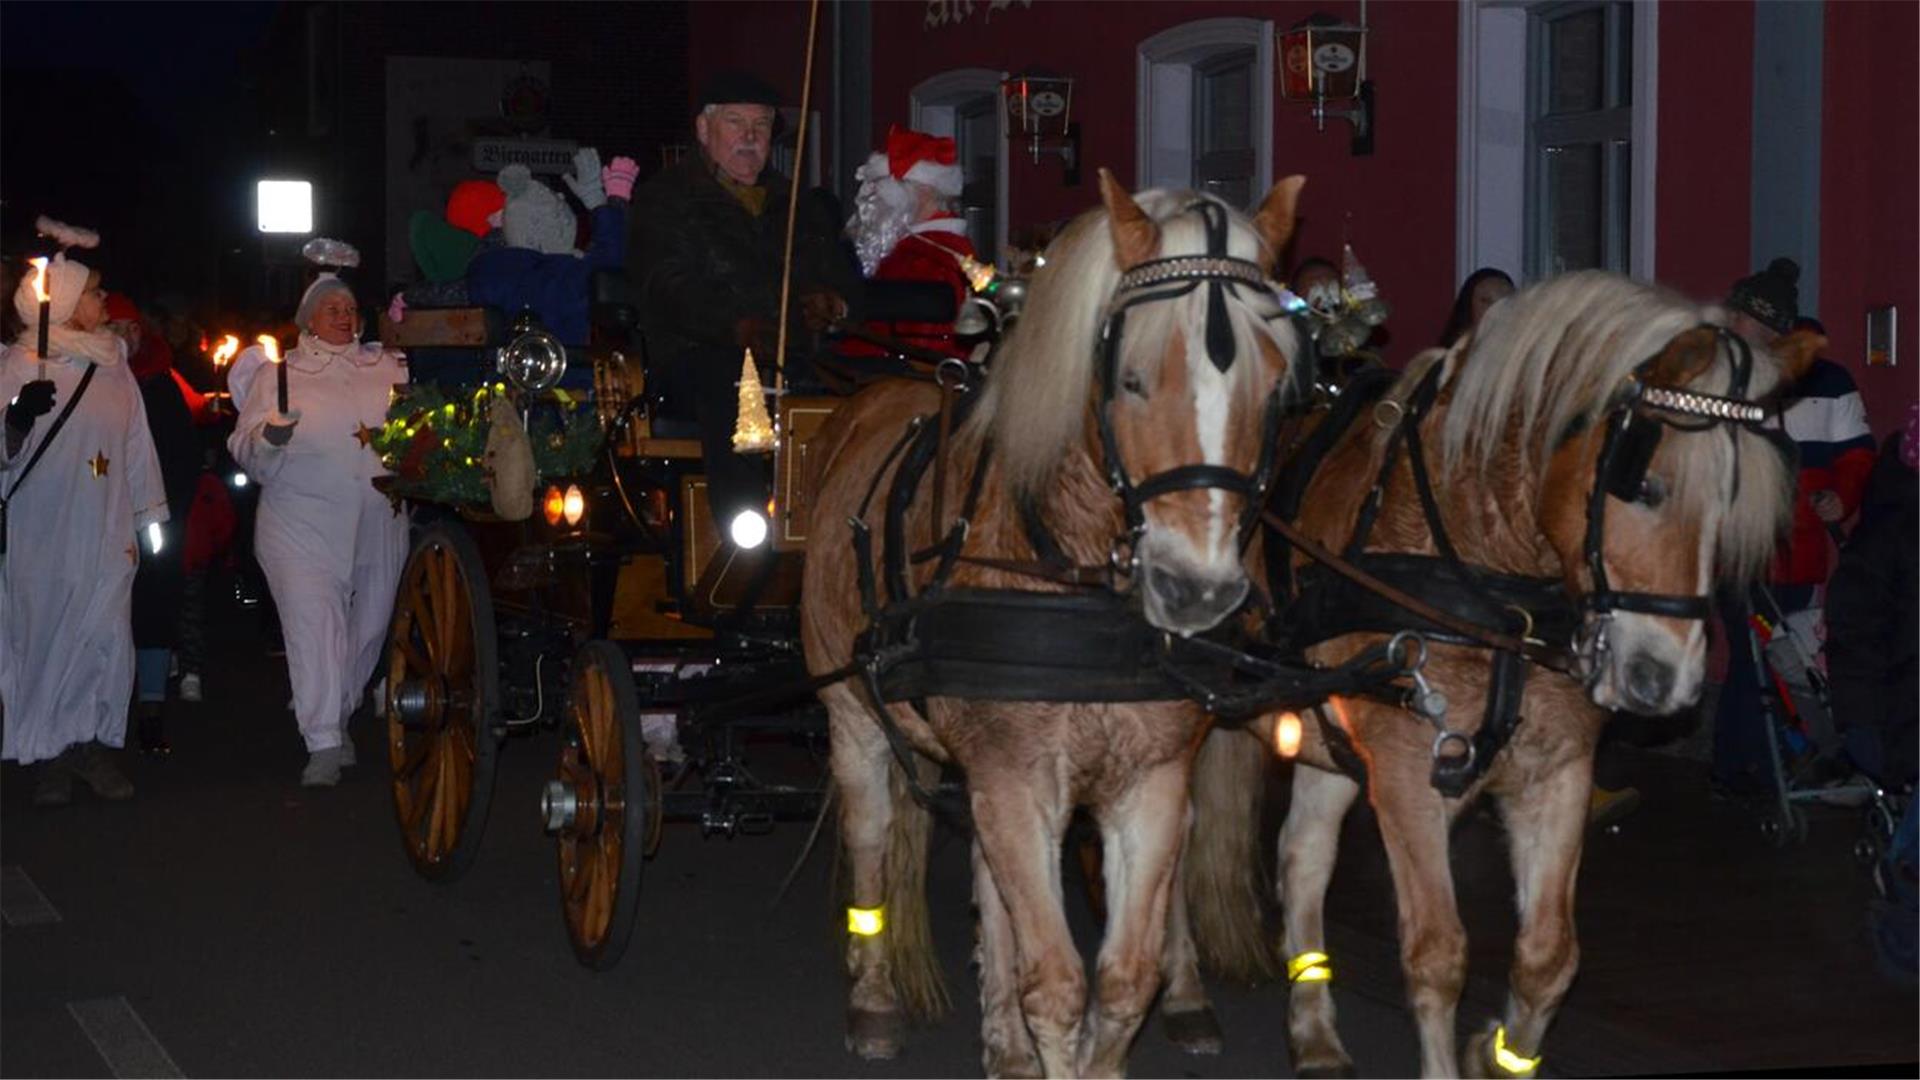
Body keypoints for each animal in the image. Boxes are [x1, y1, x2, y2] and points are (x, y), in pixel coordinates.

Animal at [802, 168, 1313, 1068]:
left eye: (1277, 386)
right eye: (1131, 379)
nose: (1197, 591)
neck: (1071, 569)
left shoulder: (1147, 780)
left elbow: (1122, 981)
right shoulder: (1016, 776)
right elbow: (1058, 983)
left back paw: (1002, 1044)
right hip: (851, 713)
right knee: (870, 835)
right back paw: (874, 1002)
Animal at [1167, 269, 1812, 1076]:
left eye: (1734, 504)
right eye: (1646, 485)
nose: (1666, 681)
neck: (1496, 585)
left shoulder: (1557, 770)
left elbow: (1550, 957)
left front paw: (1495, 1048)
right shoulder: (1408, 775)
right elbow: (1438, 955)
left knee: (1301, 857)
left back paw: (1315, 1033)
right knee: (1172, 842)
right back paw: (1184, 996)